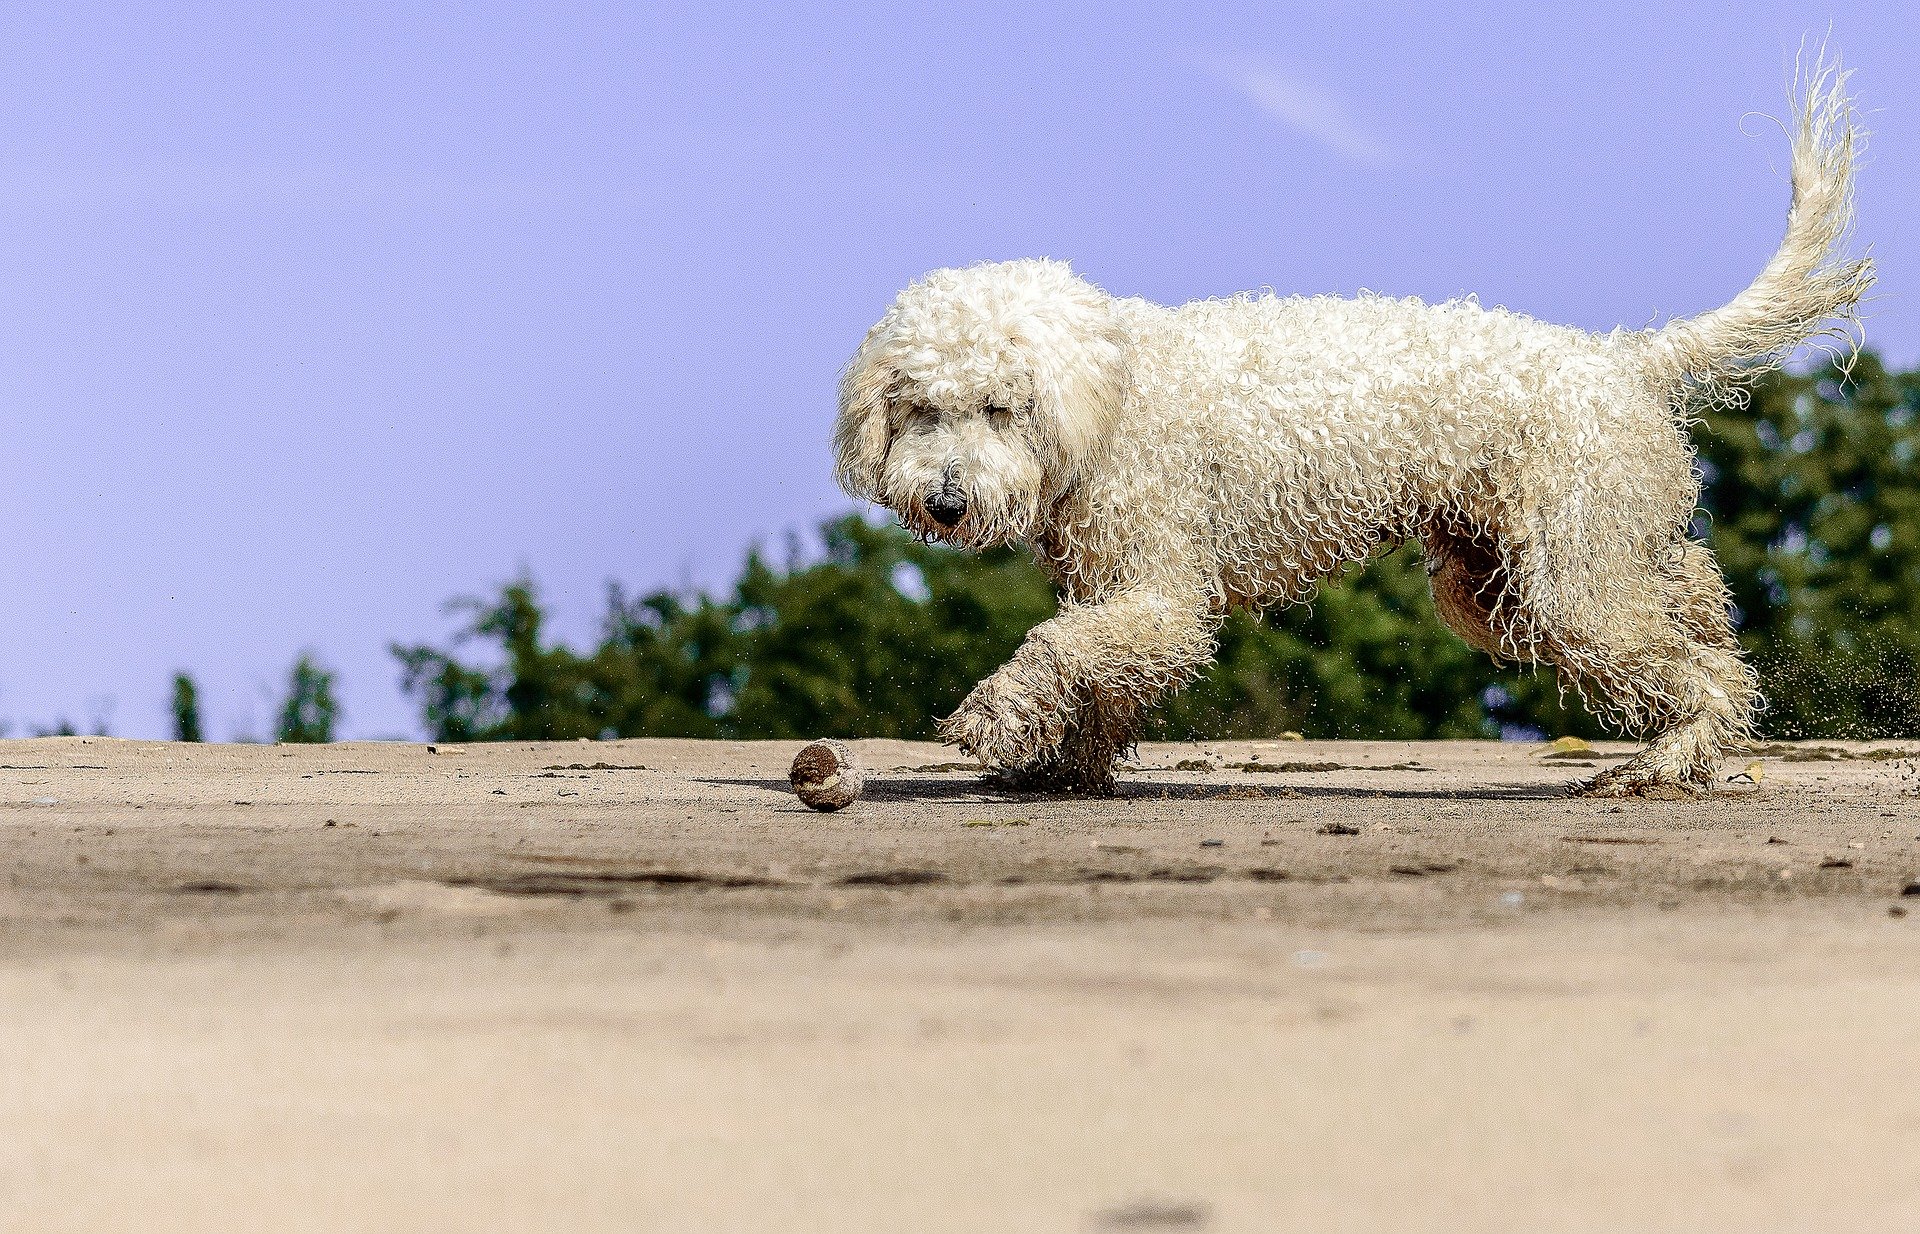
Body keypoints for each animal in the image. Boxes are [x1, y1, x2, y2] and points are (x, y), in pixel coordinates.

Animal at [833, 62, 1866, 802]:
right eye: (920, 409)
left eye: (998, 407)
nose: (945, 502)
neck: (1111, 395)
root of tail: (1624, 358)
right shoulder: (1118, 591)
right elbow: (1098, 672)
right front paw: (1063, 766)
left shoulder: (1159, 588)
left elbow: (1061, 650)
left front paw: (992, 719)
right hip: (1509, 579)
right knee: (1692, 598)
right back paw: (1701, 667)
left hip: (1570, 582)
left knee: (1694, 669)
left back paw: (1667, 763)